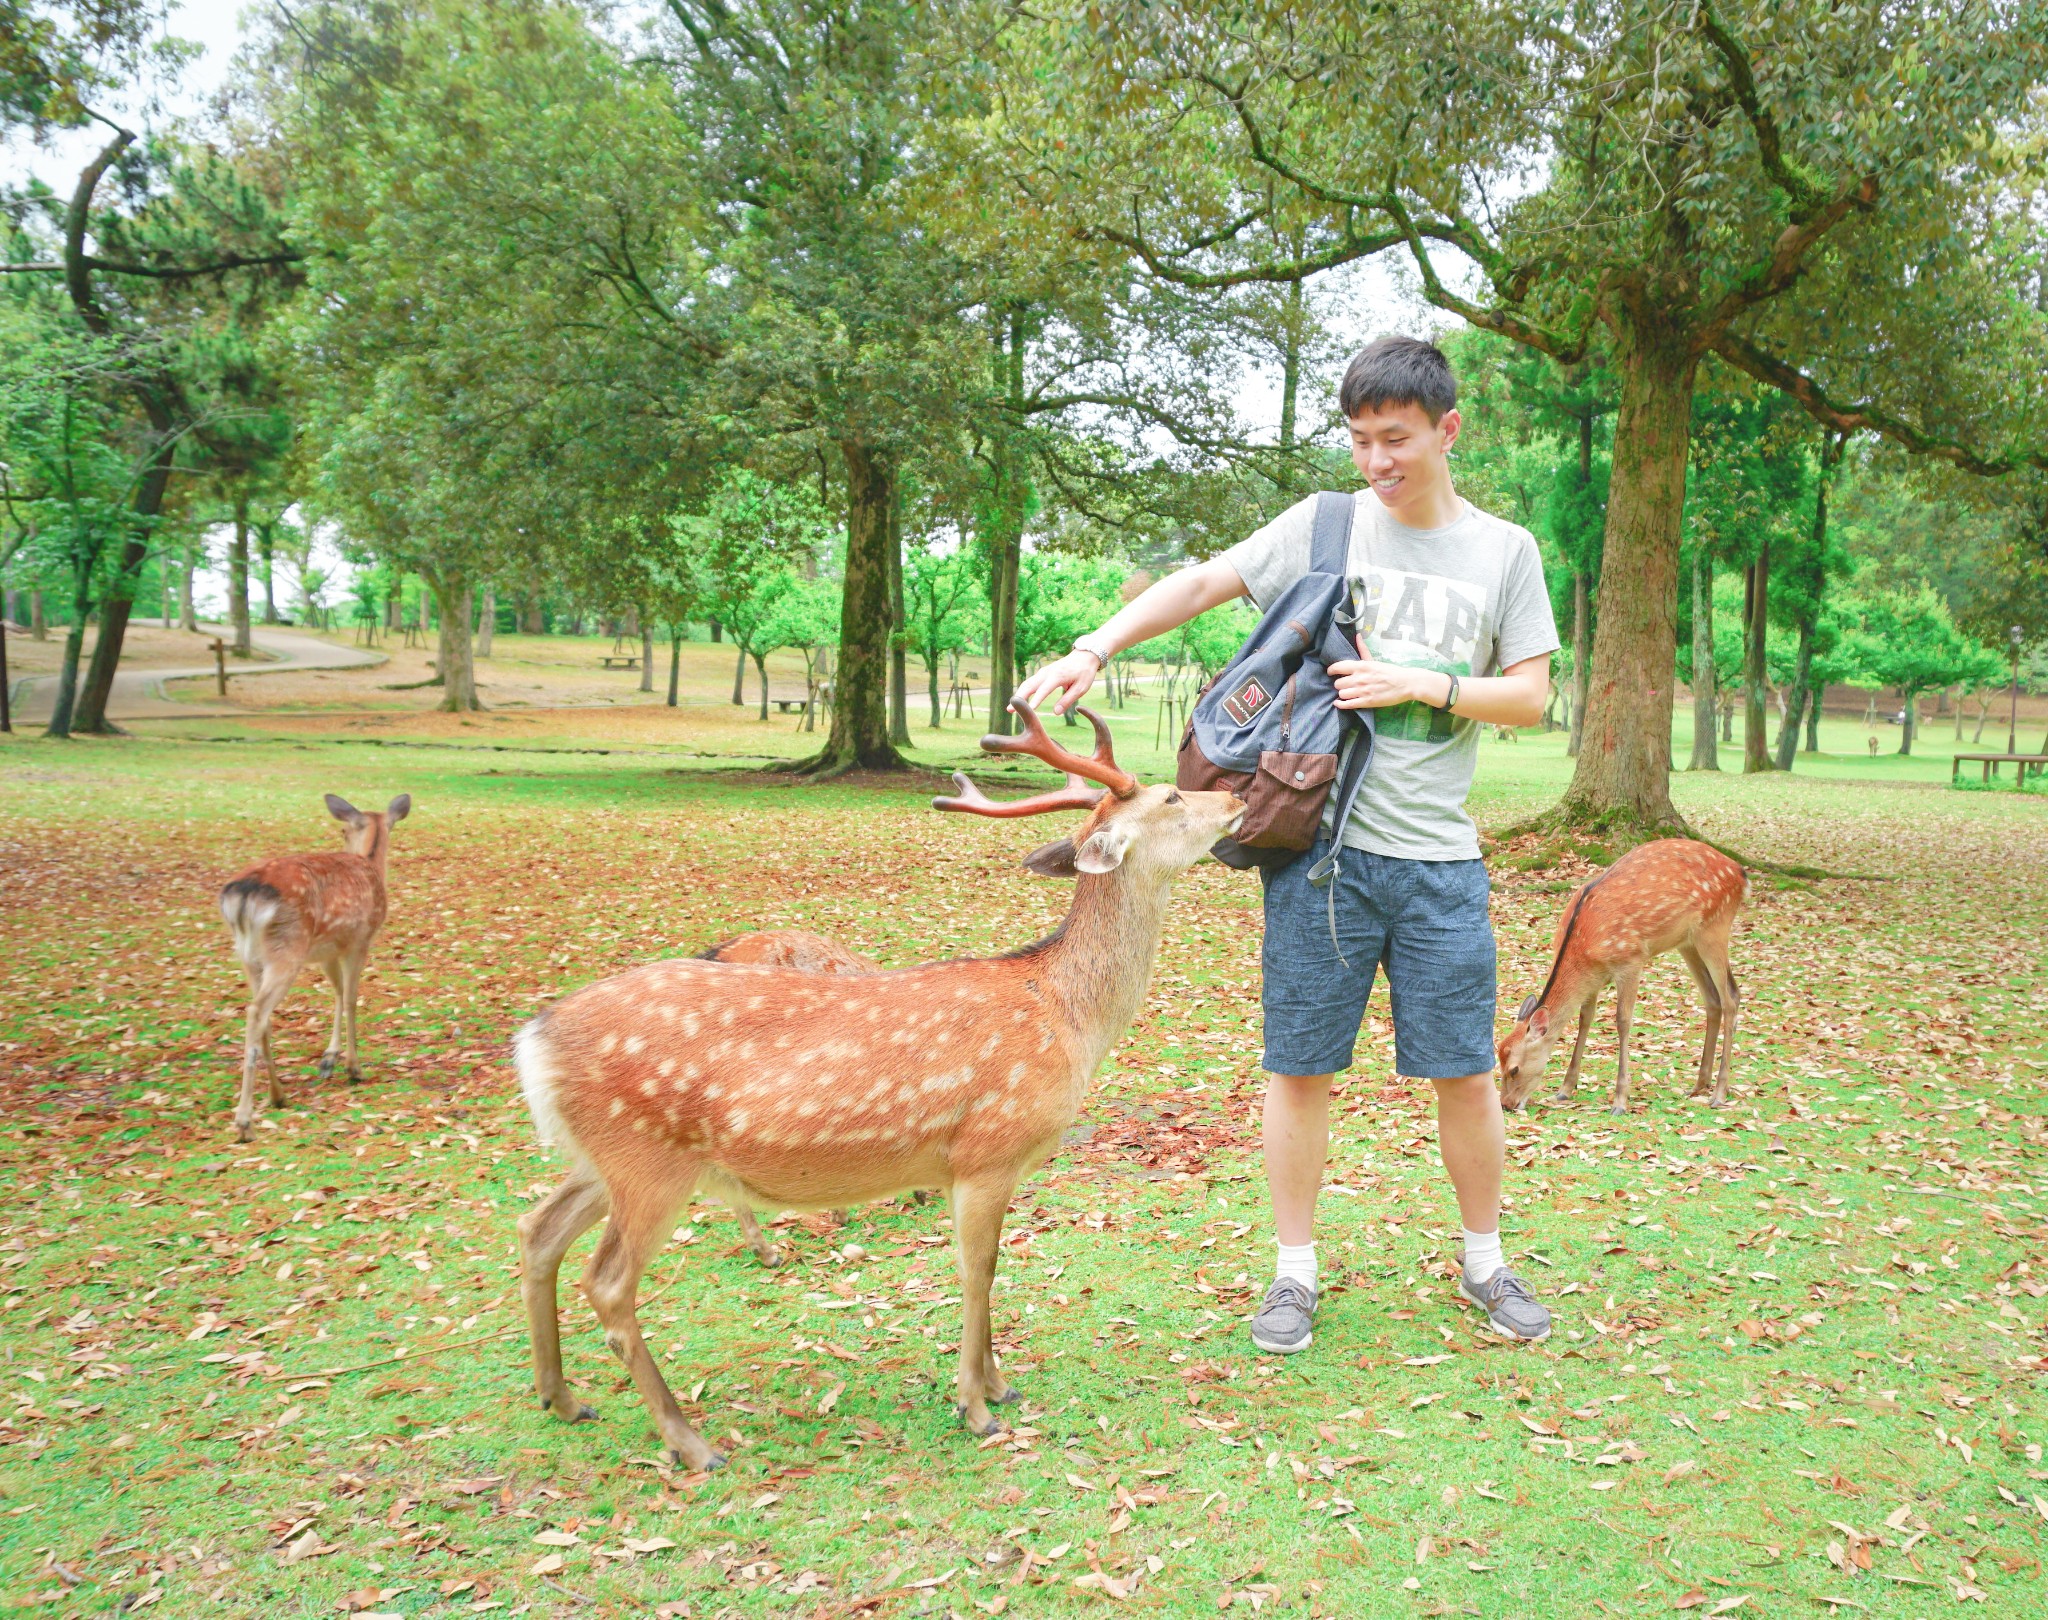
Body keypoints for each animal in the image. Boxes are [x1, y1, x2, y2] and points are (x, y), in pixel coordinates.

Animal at [218, 794, 409, 1138]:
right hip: (287, 950)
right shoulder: (360, 940)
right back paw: (244, 1121)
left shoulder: (328, 951)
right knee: (256, 1012)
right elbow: (351, 998)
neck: (372, 865)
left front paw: (328, 1059)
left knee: (262, 1015)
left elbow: (337, 993)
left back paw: (277, 1095)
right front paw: (353, 1067)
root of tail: (243, 895)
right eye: (343, 832)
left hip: (248, 956)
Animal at [516, 704, 1245, 1474]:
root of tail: (533, 1042)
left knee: (537, 1232)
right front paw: (978, 1406)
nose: (1235, 797)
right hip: (647, 1160)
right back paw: (690, 1442)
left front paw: (1000, 1385)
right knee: (607, 1283)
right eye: (1171, 796)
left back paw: (562, 1398)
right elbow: (978, 1270)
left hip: (602, 1157)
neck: (1065, 1016)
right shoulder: (986, 1151)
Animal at [1490, 835, 1744, 1114]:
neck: (1585, 950)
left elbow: (1623, 1021)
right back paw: (1699, 1085)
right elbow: (1585, 1018)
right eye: (1498, 1061)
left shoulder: (1631, 961)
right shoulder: (1593, 978)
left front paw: (1620, 1101)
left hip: (1715, 927)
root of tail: (1741, 873)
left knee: (1731, 996)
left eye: (1514, 1069)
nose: (1506, 1103)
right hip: (1687, 942)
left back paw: (1719, 1093)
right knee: (1712, 998)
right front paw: (1565, 1090)